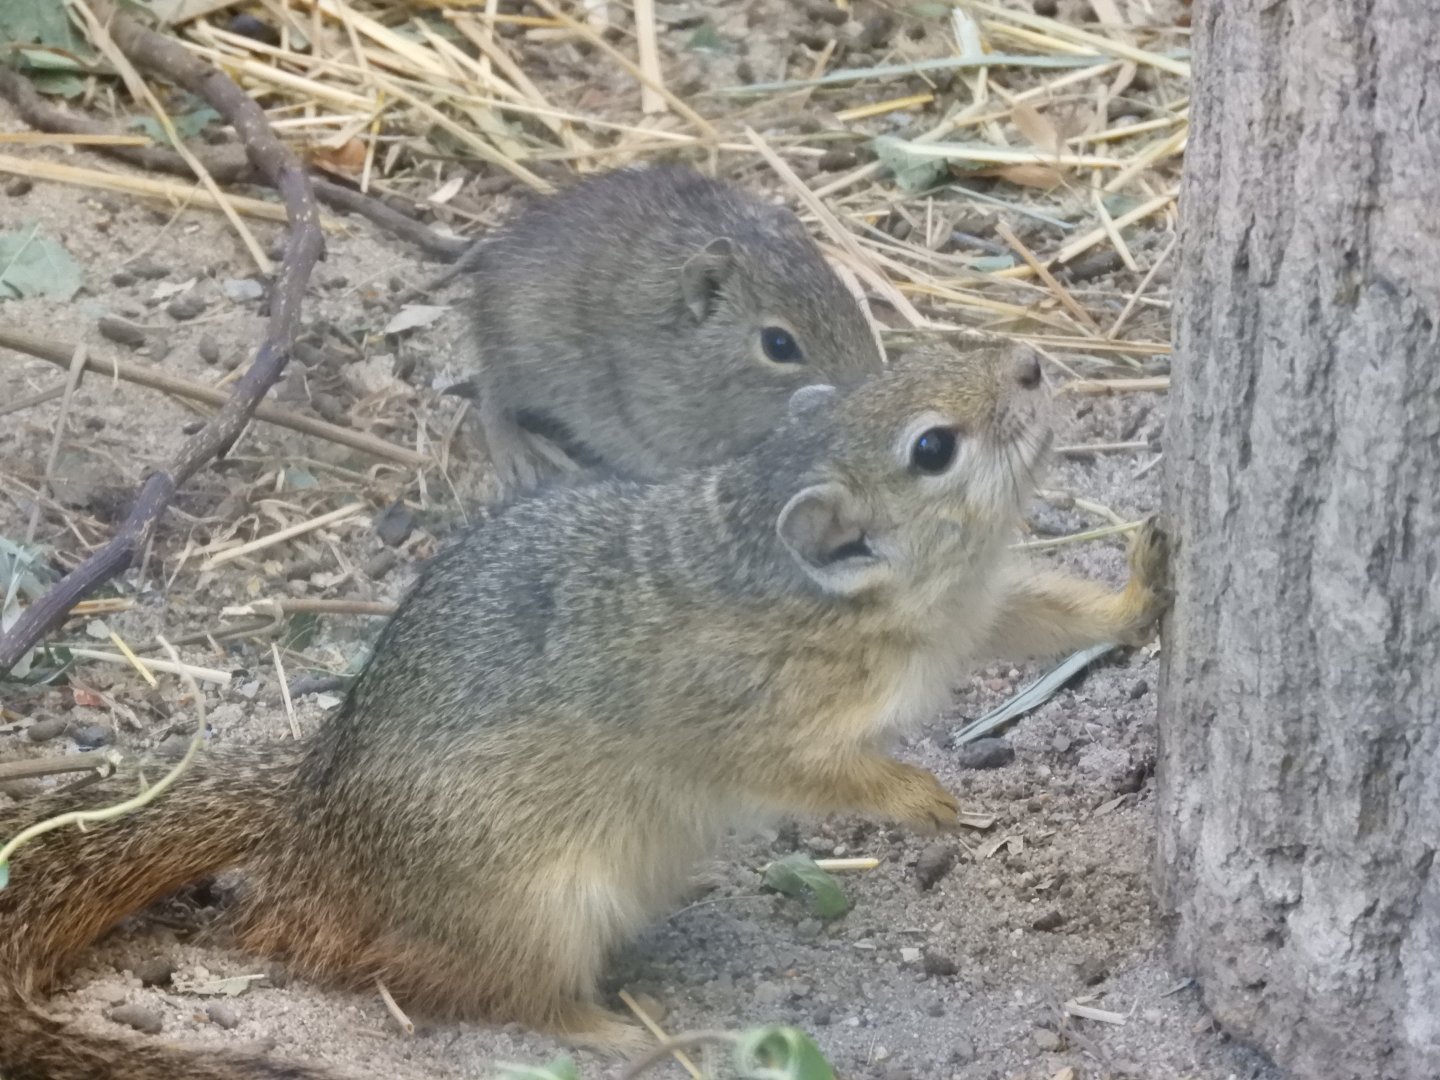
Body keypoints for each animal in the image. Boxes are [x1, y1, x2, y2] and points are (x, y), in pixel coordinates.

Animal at [0, 342, 1170, 1080]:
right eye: (935, 447)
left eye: (899, 368)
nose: (1029, 362)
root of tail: (304, 842)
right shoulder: (744, 714)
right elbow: (816, 774)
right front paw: (923, 798)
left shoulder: (977, 614)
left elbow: (1051, 616)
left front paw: (1145, 585)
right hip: (529, 904)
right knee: (505, 995)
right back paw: (616, 1032)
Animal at [456, 163, 885, 489]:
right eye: (778, 345)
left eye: (849, 298)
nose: (866, 387)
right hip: (518, 356)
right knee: (492, 399)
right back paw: (517, 458)